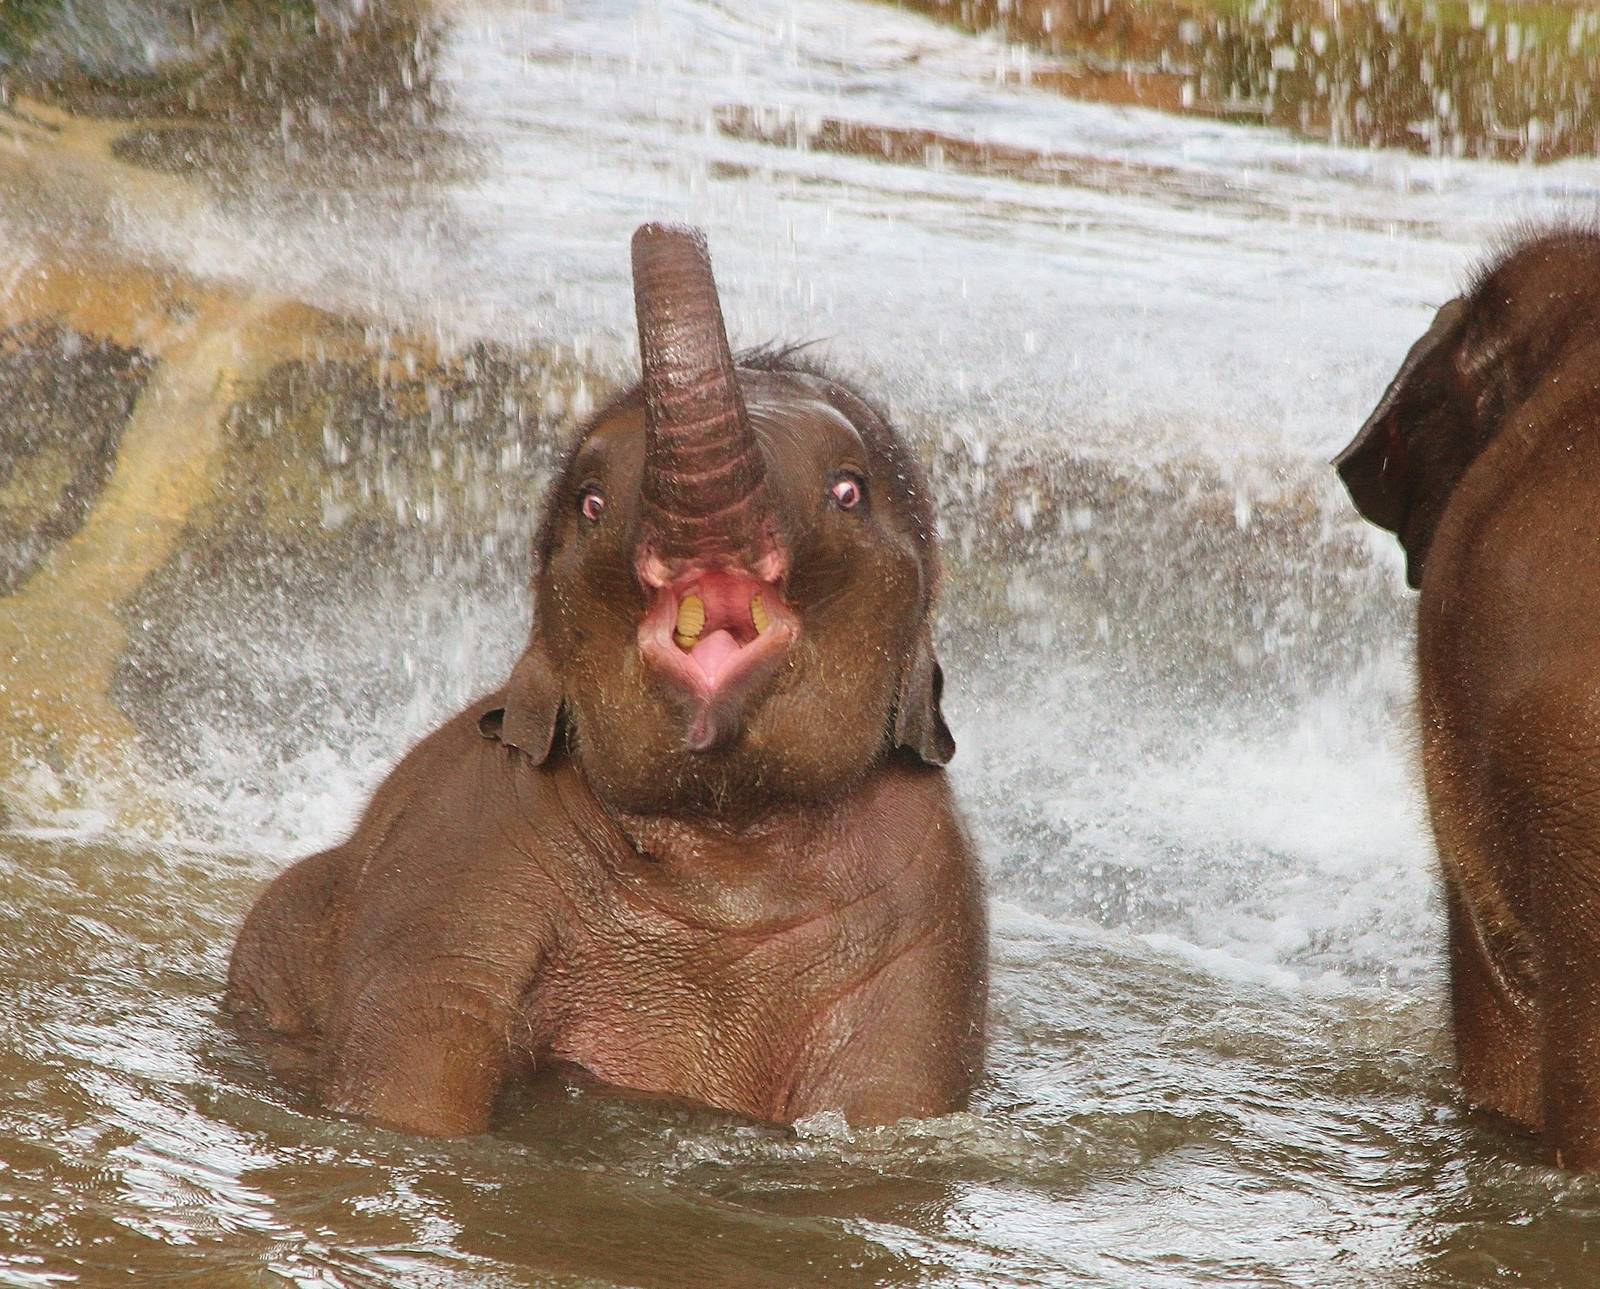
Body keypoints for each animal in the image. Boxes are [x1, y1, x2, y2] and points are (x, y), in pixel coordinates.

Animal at [225, 223, 988, 1137]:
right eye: (591, 504)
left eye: (849, 490)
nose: (666, 228)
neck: (724, 847)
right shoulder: (454, 861)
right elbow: (415, 1066)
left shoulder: (931, 919)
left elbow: (889, 1093)